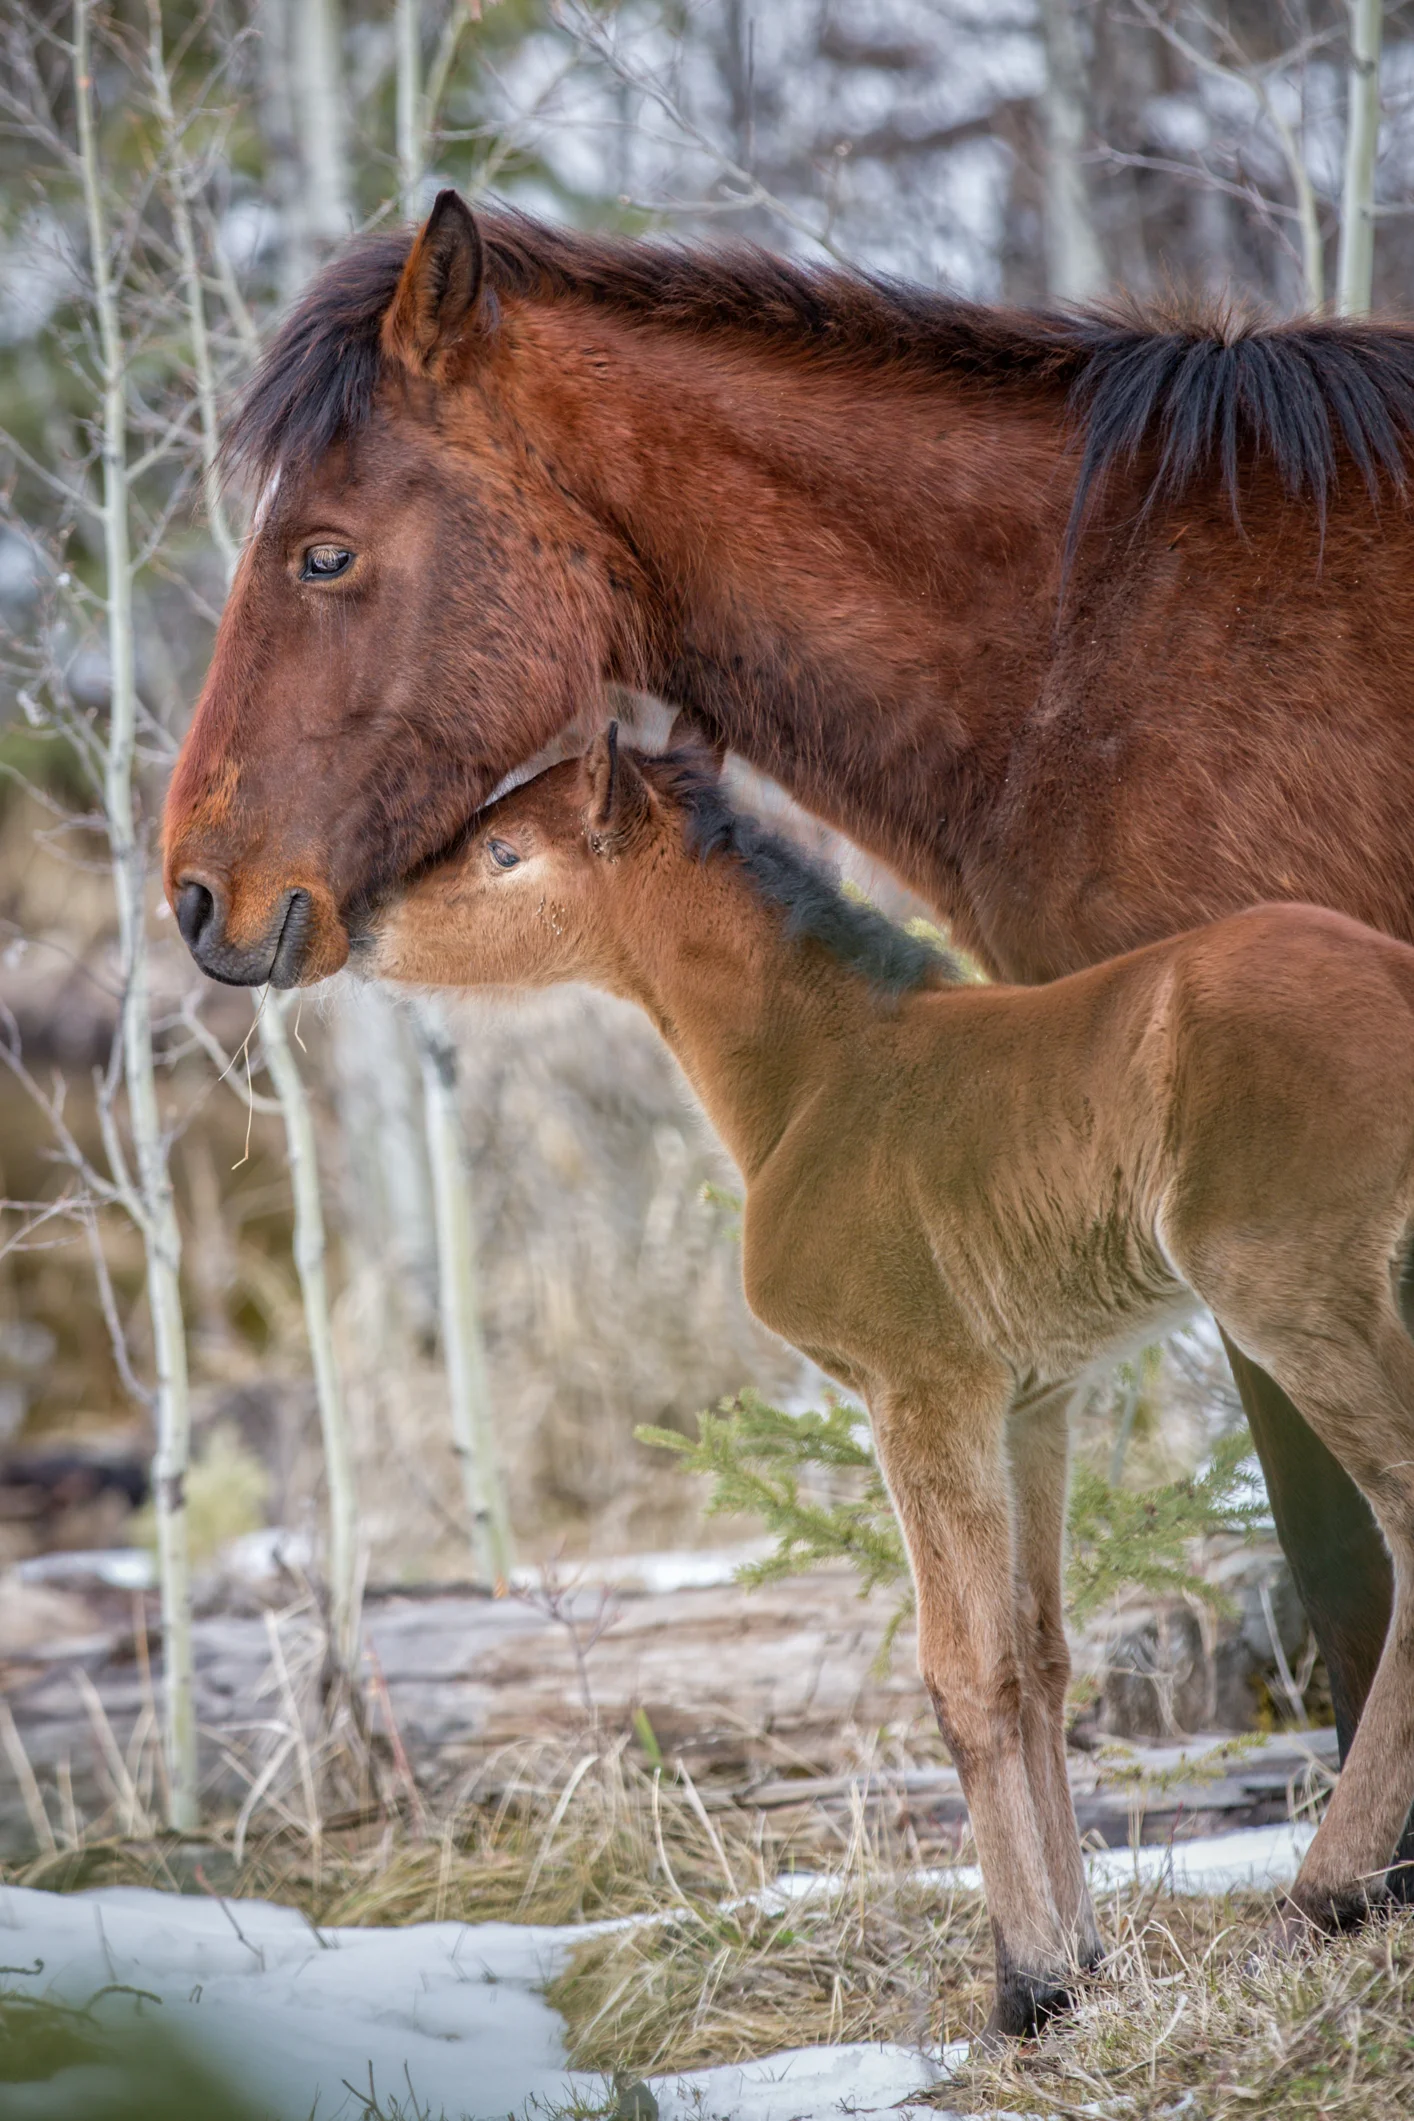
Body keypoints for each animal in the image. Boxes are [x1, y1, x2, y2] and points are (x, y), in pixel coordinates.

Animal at [358, 724, 1414, 2034]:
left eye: (503, 849)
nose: (361, 923)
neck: (823, 1079)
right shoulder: (1031, 1405)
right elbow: (1037, 1657)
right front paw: (1081, 1961)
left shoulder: (921, 1389)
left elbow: (963, 1670)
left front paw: (1027, 1986)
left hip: (1293, 1292)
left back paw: (1321, 1895)